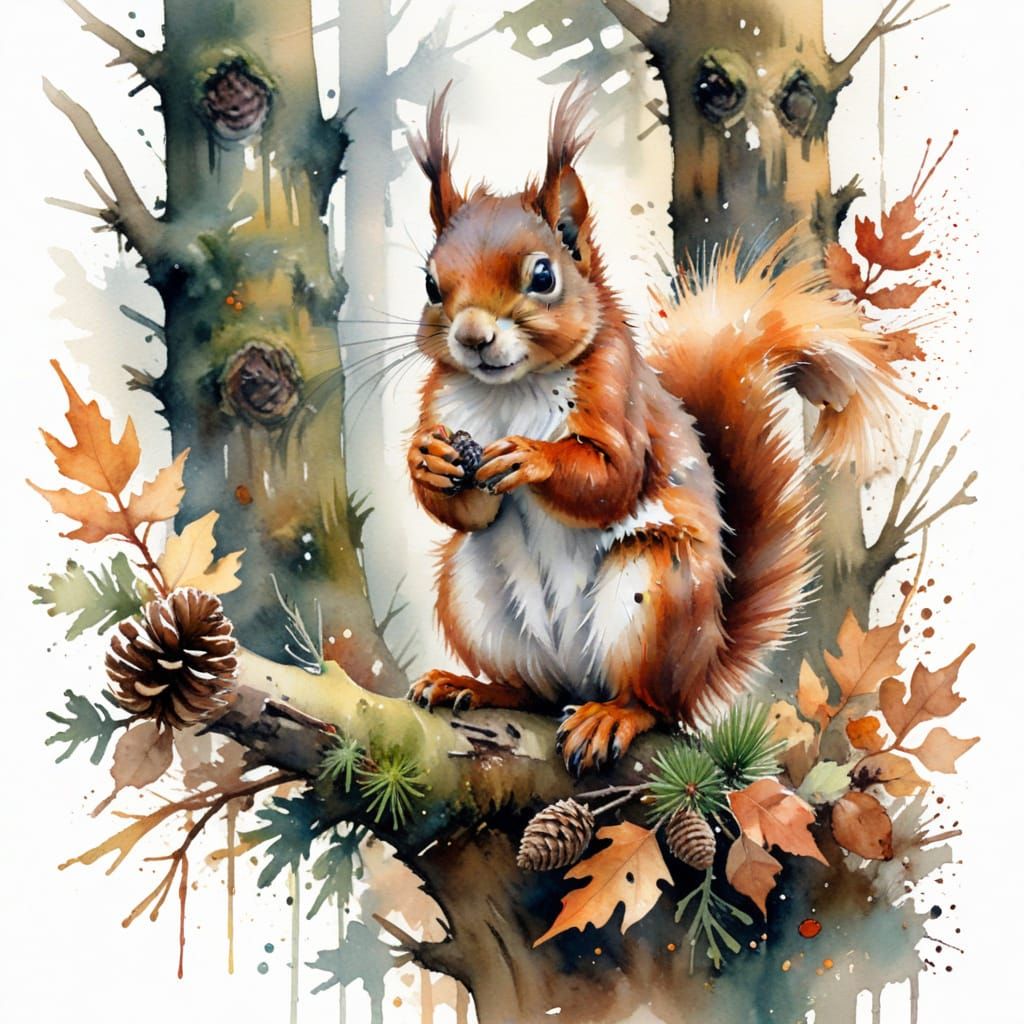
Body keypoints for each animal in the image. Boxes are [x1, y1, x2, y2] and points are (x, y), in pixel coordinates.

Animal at [404, 82, 902, 775]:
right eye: (430, 284)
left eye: (543, 275)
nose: (473, 338)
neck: (511, 390)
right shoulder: (445, 404)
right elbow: (464, 509)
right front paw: (427, 461)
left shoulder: (620, 398)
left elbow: (611, 479)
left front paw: (531, 457)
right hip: (472, 593)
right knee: (531, 690)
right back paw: (473, 686)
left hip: (657, 592)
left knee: (651, 702)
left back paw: (613, 715)